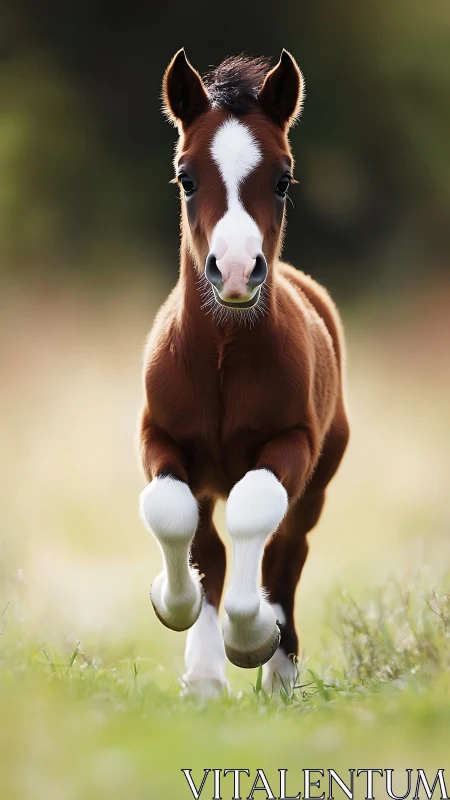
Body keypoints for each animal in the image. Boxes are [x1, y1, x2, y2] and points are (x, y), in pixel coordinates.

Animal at [138, 49, 349, 698]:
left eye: (282, 179)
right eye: (186, 177)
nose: (234, 270)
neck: (224, 359)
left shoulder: (292, 443)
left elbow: (257, 512)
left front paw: (252, 637)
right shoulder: (160, 438)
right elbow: (172, 513)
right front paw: (173, 607)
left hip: (318, 484)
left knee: (287, 552)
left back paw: (279, 675)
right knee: (209, 546)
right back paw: (205, 678)